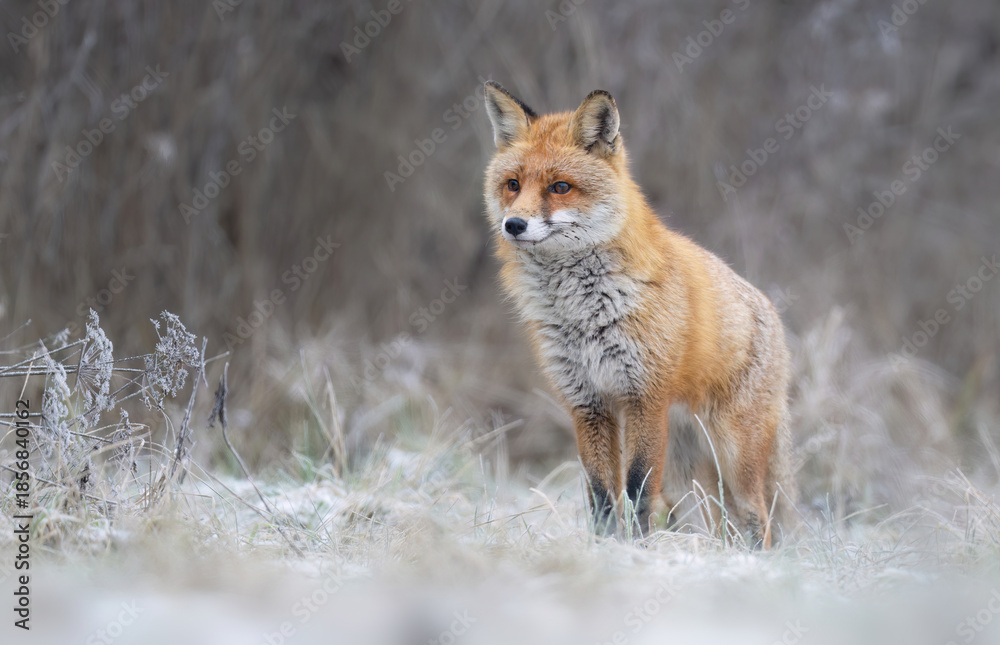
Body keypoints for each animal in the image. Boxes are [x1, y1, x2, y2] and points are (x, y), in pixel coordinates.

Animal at [482, 81, 796, 548]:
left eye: (560, 187)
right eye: (512, 184)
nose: (514, 224)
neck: (584, 313)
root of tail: (771, 312)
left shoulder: (644, 397)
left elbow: (637, 492)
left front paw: (637, 548)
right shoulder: (587, 402)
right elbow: (601, 496)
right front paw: (605, 547)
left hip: (732, 453)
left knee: (757, 516)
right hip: (688, 478)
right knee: (712, 523)